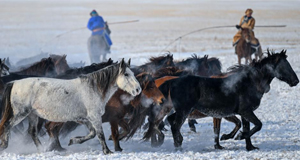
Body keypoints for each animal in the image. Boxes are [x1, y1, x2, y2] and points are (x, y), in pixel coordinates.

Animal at [0, 59, 142, 155]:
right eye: (126, 74)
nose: (138, 89)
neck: (93, 89)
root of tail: (14, 83)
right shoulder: (94, 117)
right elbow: (99, 134)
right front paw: (107, 151)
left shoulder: (84, 119)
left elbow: (92, 133)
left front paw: (73, 141)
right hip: (20, 113)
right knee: (7, 125)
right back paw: (4, 145)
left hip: (33, 115)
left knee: (32, 132)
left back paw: (43, 150)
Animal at [159, 50, 298, 151]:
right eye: (284, 65)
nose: (296, 81)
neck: (249, 83)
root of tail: (172, 81)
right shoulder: (245, 111)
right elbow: (257, 125)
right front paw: (237, 136)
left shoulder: (243, 114)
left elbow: (246, 127)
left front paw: (249, 147)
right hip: (184, 111)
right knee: (175, 126)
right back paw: (178, 147)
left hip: (183, 111)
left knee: (170, 122)